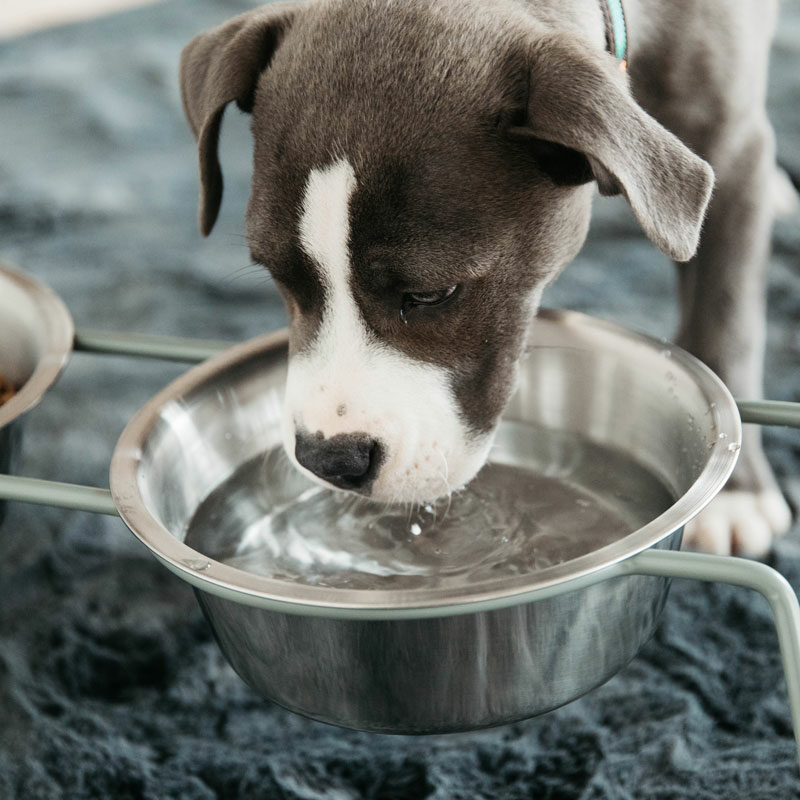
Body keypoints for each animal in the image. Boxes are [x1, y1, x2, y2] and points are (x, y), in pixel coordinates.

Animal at [178, 0, 792, 556]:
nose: (329, 459)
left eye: (431, 294)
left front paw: (737, 494)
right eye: (278, 276)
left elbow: (725, 315)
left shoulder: (734, 145)